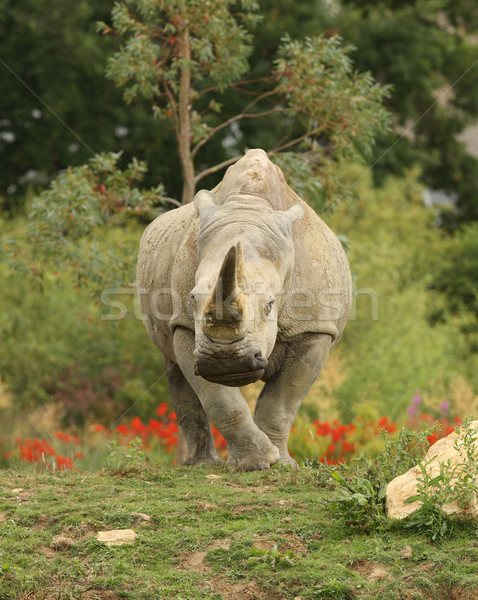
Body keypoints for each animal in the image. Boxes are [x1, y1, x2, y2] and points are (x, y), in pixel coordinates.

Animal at [135, 148, 352, 472]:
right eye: (192, 299)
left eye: (270, 305)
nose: (225, 361)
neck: (250, 207)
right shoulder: (185, 325)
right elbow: (219, 399)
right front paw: (256, 463)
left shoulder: (314, 328)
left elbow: (282, 401)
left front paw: (281, 465)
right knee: (173, 366)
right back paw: (200, 465)